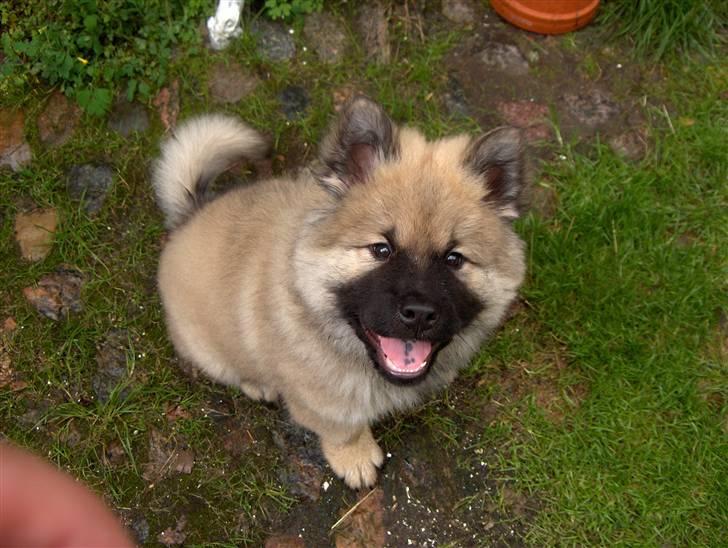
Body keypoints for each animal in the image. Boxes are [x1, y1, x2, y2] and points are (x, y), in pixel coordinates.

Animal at [155, 98, 528, 488]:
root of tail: (190, 214)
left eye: (454, 259)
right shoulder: (320, 403)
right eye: (381, 249)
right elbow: (342, 431)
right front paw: (357, 459)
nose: (419, 314)